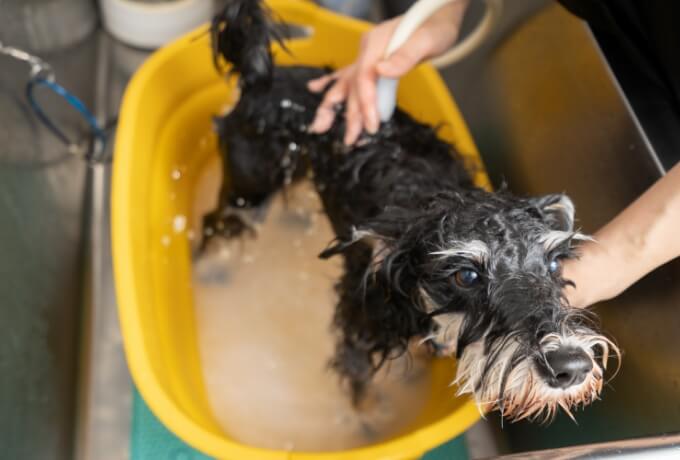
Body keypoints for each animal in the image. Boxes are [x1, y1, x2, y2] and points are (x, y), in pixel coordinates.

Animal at [203, 0, 620, 420]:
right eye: (466, 276)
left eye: (553, 265)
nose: (571, 366)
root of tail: (262, 77)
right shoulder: (358, 324)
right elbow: (360, 386)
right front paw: (369, 419)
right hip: (250, 190)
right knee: (212, 226)